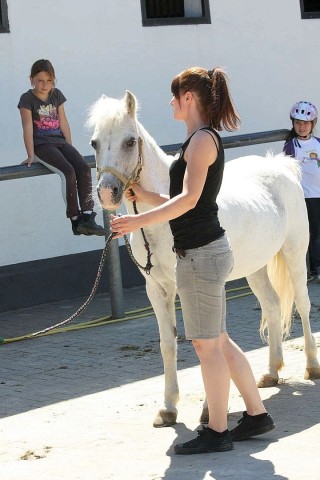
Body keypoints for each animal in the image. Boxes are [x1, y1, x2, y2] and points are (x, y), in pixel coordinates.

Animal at [87, 91, 320, 428]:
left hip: (294, 254)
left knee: (302, 304)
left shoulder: (197, 288)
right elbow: (168, 344)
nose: (107, 193)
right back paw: (271, 372)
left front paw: (210, 411)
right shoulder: (157, 290)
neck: (164, 222)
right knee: (273, 306)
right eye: (94, 142)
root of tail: (280, 168)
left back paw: (312, 366)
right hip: (256, 268)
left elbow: (207, 342)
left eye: (129, 142)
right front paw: (168, 408)